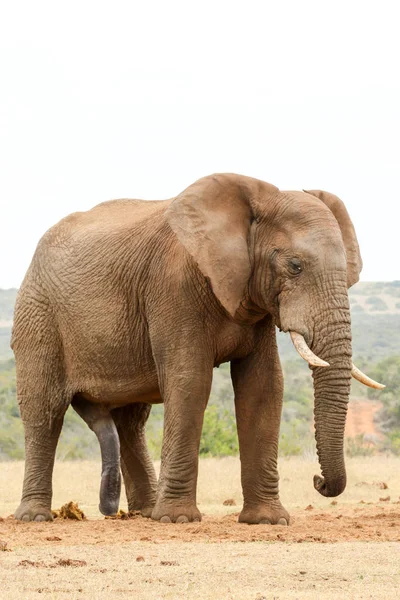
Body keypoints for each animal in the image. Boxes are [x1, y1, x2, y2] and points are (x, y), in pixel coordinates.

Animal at [11, 171, 384, 524]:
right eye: (295, 266)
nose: (318, 481)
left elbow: (263, 386)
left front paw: (267, 521)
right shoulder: (173, 287)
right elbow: (190, 380)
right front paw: (177, 519)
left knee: (130, 421)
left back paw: (145, 512)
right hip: (37, 314)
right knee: (44, 411)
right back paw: (35, 517)